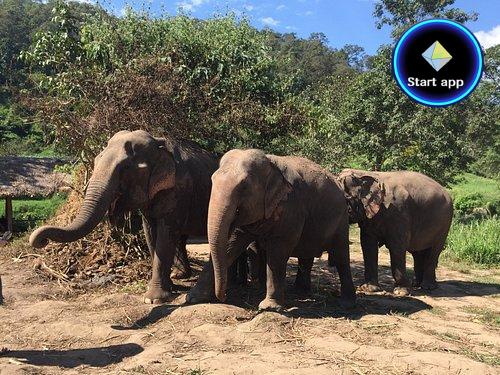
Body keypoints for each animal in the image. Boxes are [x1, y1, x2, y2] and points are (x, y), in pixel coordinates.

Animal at [28, 131, 217, 304]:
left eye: (125, 168)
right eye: (96, 161)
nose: (40, 240)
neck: (158, 141)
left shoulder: (178, 189)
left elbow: (165, 235)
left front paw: (153, 299)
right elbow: (150, 234)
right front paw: (167, 288)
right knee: (182, 238)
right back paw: (181, 274)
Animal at [188, 149, 356, 312]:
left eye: (244, 186)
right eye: (212, 181)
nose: (222, 297)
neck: (271, 164)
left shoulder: (291, 206)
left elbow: (277, 253)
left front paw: (269, 307)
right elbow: (231, 245)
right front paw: (193, 298)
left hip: (341, 220)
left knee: (341, 257)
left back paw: (347, 304)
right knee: (306, 253)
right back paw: (300, 292)